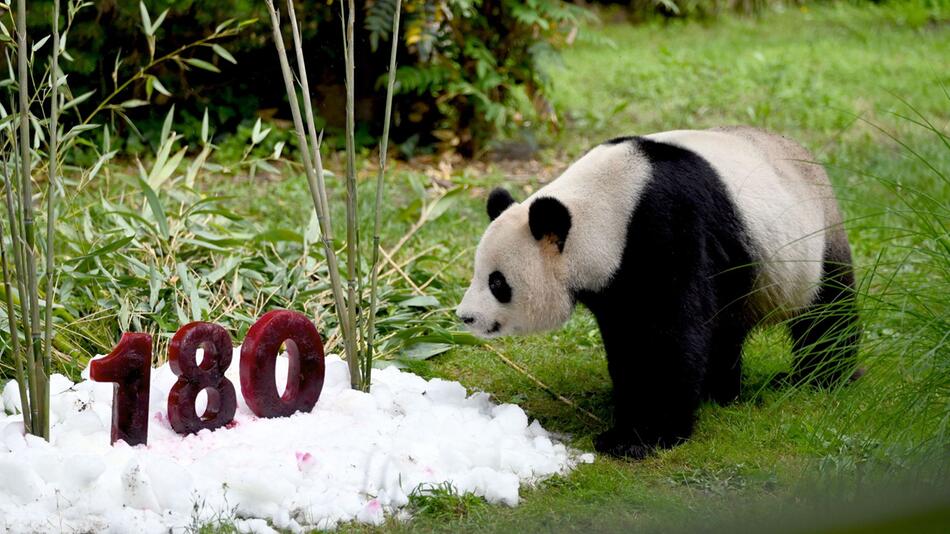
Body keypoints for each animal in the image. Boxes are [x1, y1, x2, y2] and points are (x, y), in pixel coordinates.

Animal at [456, 126, 864, 460]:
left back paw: (821, 378)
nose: (466, 316)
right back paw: (721, 391)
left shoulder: (669, 228)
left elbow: (670, 337)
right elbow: (628, 342)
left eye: (497, 283)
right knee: (726, 328)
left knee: (826, 314)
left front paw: (641, 438)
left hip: (810, 242)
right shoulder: (615, 281)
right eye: (478, 274)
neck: (604, 208)